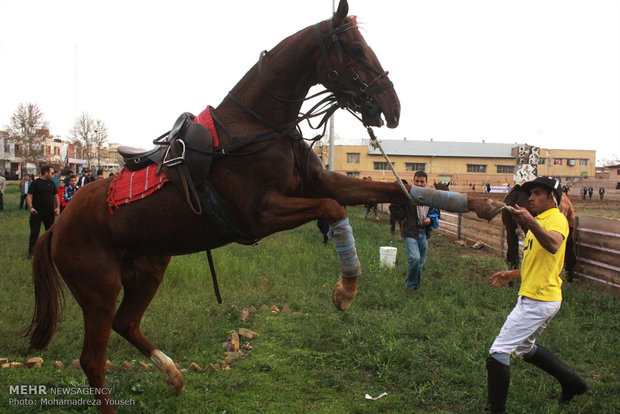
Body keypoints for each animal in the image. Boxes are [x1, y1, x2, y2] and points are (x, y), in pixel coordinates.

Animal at [27, 1, 504, 412]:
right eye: (353, 49)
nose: (392, 107)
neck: (254, 128)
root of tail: (57, 227)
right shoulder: (261, 214)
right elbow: (334, 209)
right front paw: (345, 289)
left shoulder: (320, 183)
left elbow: (398, 191)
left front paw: (483, 205)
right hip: (99, 291)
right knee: (93, 361)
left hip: (148, 267)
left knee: (128, 324)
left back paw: (173, 375)